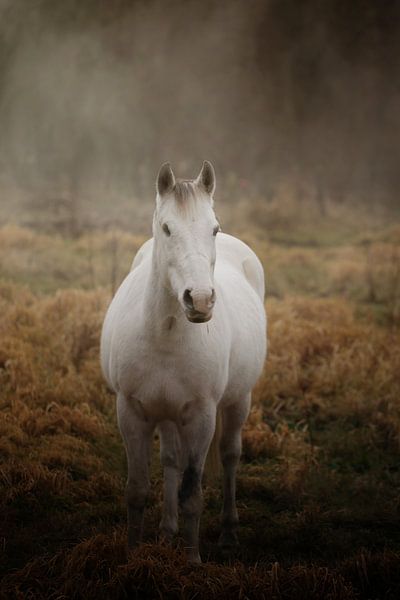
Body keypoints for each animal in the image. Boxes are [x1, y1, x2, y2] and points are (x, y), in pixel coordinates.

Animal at [100, 162, 268, 564]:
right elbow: (138, 489)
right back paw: (166, 532)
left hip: (238, 401)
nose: (201, 300)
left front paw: (191, 561)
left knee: (229, 455)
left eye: (213, 228)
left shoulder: (201, 416)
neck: (164, 338)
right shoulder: (132, 412)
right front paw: (133, 555)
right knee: (171, 461)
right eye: (166, 228)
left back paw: (227, 532)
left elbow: (192, 494)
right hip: (167, 414)